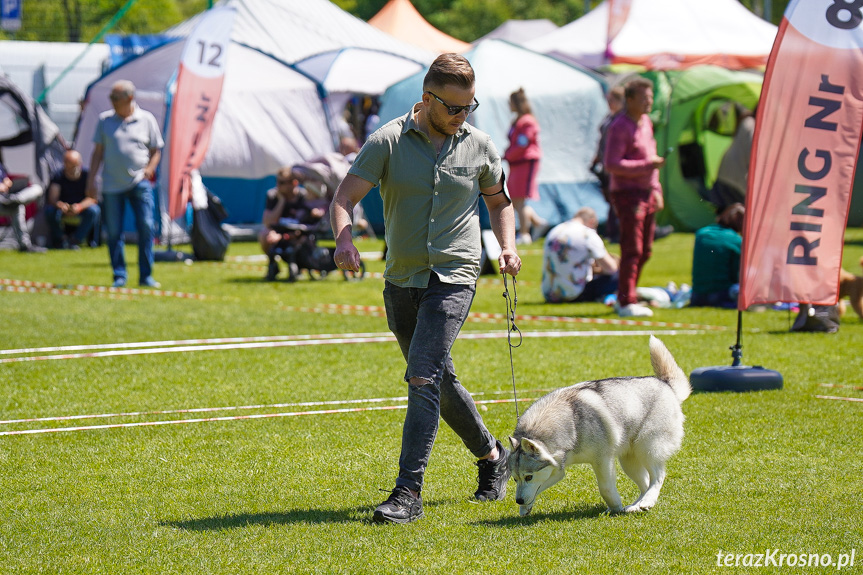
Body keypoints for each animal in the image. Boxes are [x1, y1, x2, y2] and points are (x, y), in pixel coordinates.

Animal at [510, 332, 692, 516]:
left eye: (528, 476)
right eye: (515, 478)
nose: (518, 500)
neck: (573, 425)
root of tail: (666, 384)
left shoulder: (603, 460)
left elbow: (605, 489)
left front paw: (615, 507)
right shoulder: (557, 468)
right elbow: (540, 487)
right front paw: (525, 508)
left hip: (648, 448)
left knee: (658, 477)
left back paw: (646, 502)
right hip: (629, 460)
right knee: (645, 483)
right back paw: (636, 505)